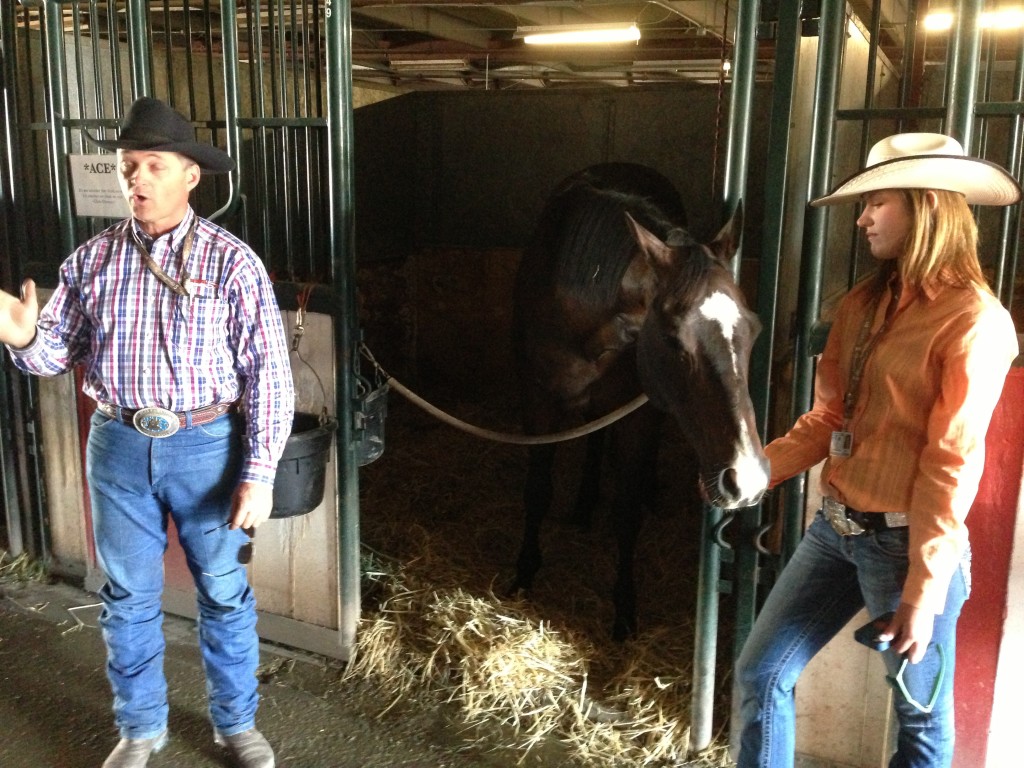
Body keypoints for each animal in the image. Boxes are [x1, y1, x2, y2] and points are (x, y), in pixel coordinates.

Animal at [512, 163, 770, 643]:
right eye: (672, 338)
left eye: (754, 328)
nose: (747, 479)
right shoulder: (536, 400)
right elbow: (537, 489)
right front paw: (523, 574)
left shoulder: (640, 412)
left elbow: (627, 511)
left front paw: (625, 610)